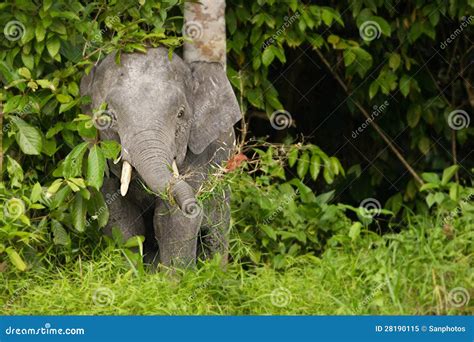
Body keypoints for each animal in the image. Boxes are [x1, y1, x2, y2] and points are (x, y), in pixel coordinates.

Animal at [80, 46, 241, 268]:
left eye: (180, 114)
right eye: (108, 118)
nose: (192, 205)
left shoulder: (201, 157)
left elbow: (172, 220)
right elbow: (119, 216)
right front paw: (134, 271)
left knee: (216, 231)